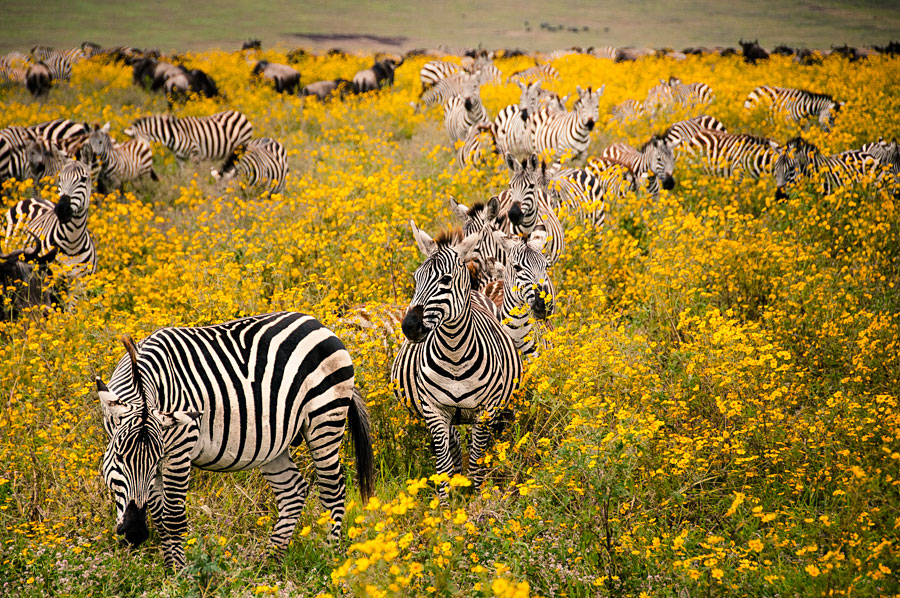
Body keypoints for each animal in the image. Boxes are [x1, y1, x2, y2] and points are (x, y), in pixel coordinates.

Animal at [96, 312, 375, 570]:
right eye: (119, 458)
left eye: (156, 462)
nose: (135, 533)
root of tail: (317, 322)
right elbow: (159, 515)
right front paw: (170, 568)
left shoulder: (179, 449)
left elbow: (172, 517)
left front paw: (180, 575)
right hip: (274, 443)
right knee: (293, 490)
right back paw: (269, 562)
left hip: (325, 418)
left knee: (332, 489)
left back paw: (330, 557)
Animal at [124, 111, 253, 164]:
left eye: (138, 147)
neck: (174, 134)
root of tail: (239, 113)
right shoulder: (179, 158)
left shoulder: (195, 154)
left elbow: (195, 175)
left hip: (241, 148)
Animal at [391, 223, 522, 501]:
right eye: (416, 279)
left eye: (446, 280)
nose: (409, 327)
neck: (454, 354)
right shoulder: (434, 410)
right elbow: (443, 465)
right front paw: (445, 504)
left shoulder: (486, 411)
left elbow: (476, 462)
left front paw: (476, 499)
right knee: (454, 445)